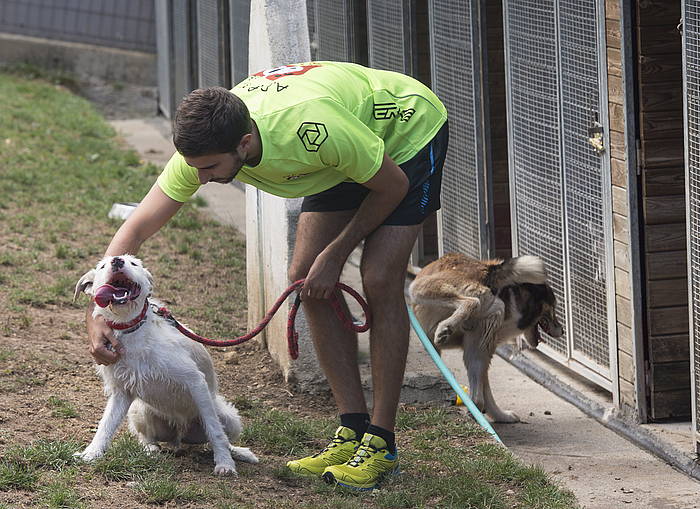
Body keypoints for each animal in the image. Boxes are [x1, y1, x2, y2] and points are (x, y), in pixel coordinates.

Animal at [73, 254, 258, 476]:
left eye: (133, 263)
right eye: (102, 266)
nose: (117, 261)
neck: (132, 330)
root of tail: (178, 438)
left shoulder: (195, 382)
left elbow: (215, 430)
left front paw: (224, 463)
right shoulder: (122, 392)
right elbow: (106, 425)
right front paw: (91, 453)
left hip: (228, 416)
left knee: (222, 433)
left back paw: (237, 452)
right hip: (139, 410)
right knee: (146, 437)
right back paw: (150, 449)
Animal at [410, 252, 564, 422]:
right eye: (553, 307)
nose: (563, 331)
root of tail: (487, 269)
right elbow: (486, 389)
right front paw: (501, 416)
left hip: (420, 288)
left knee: (472, 302)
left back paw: (445, 328)